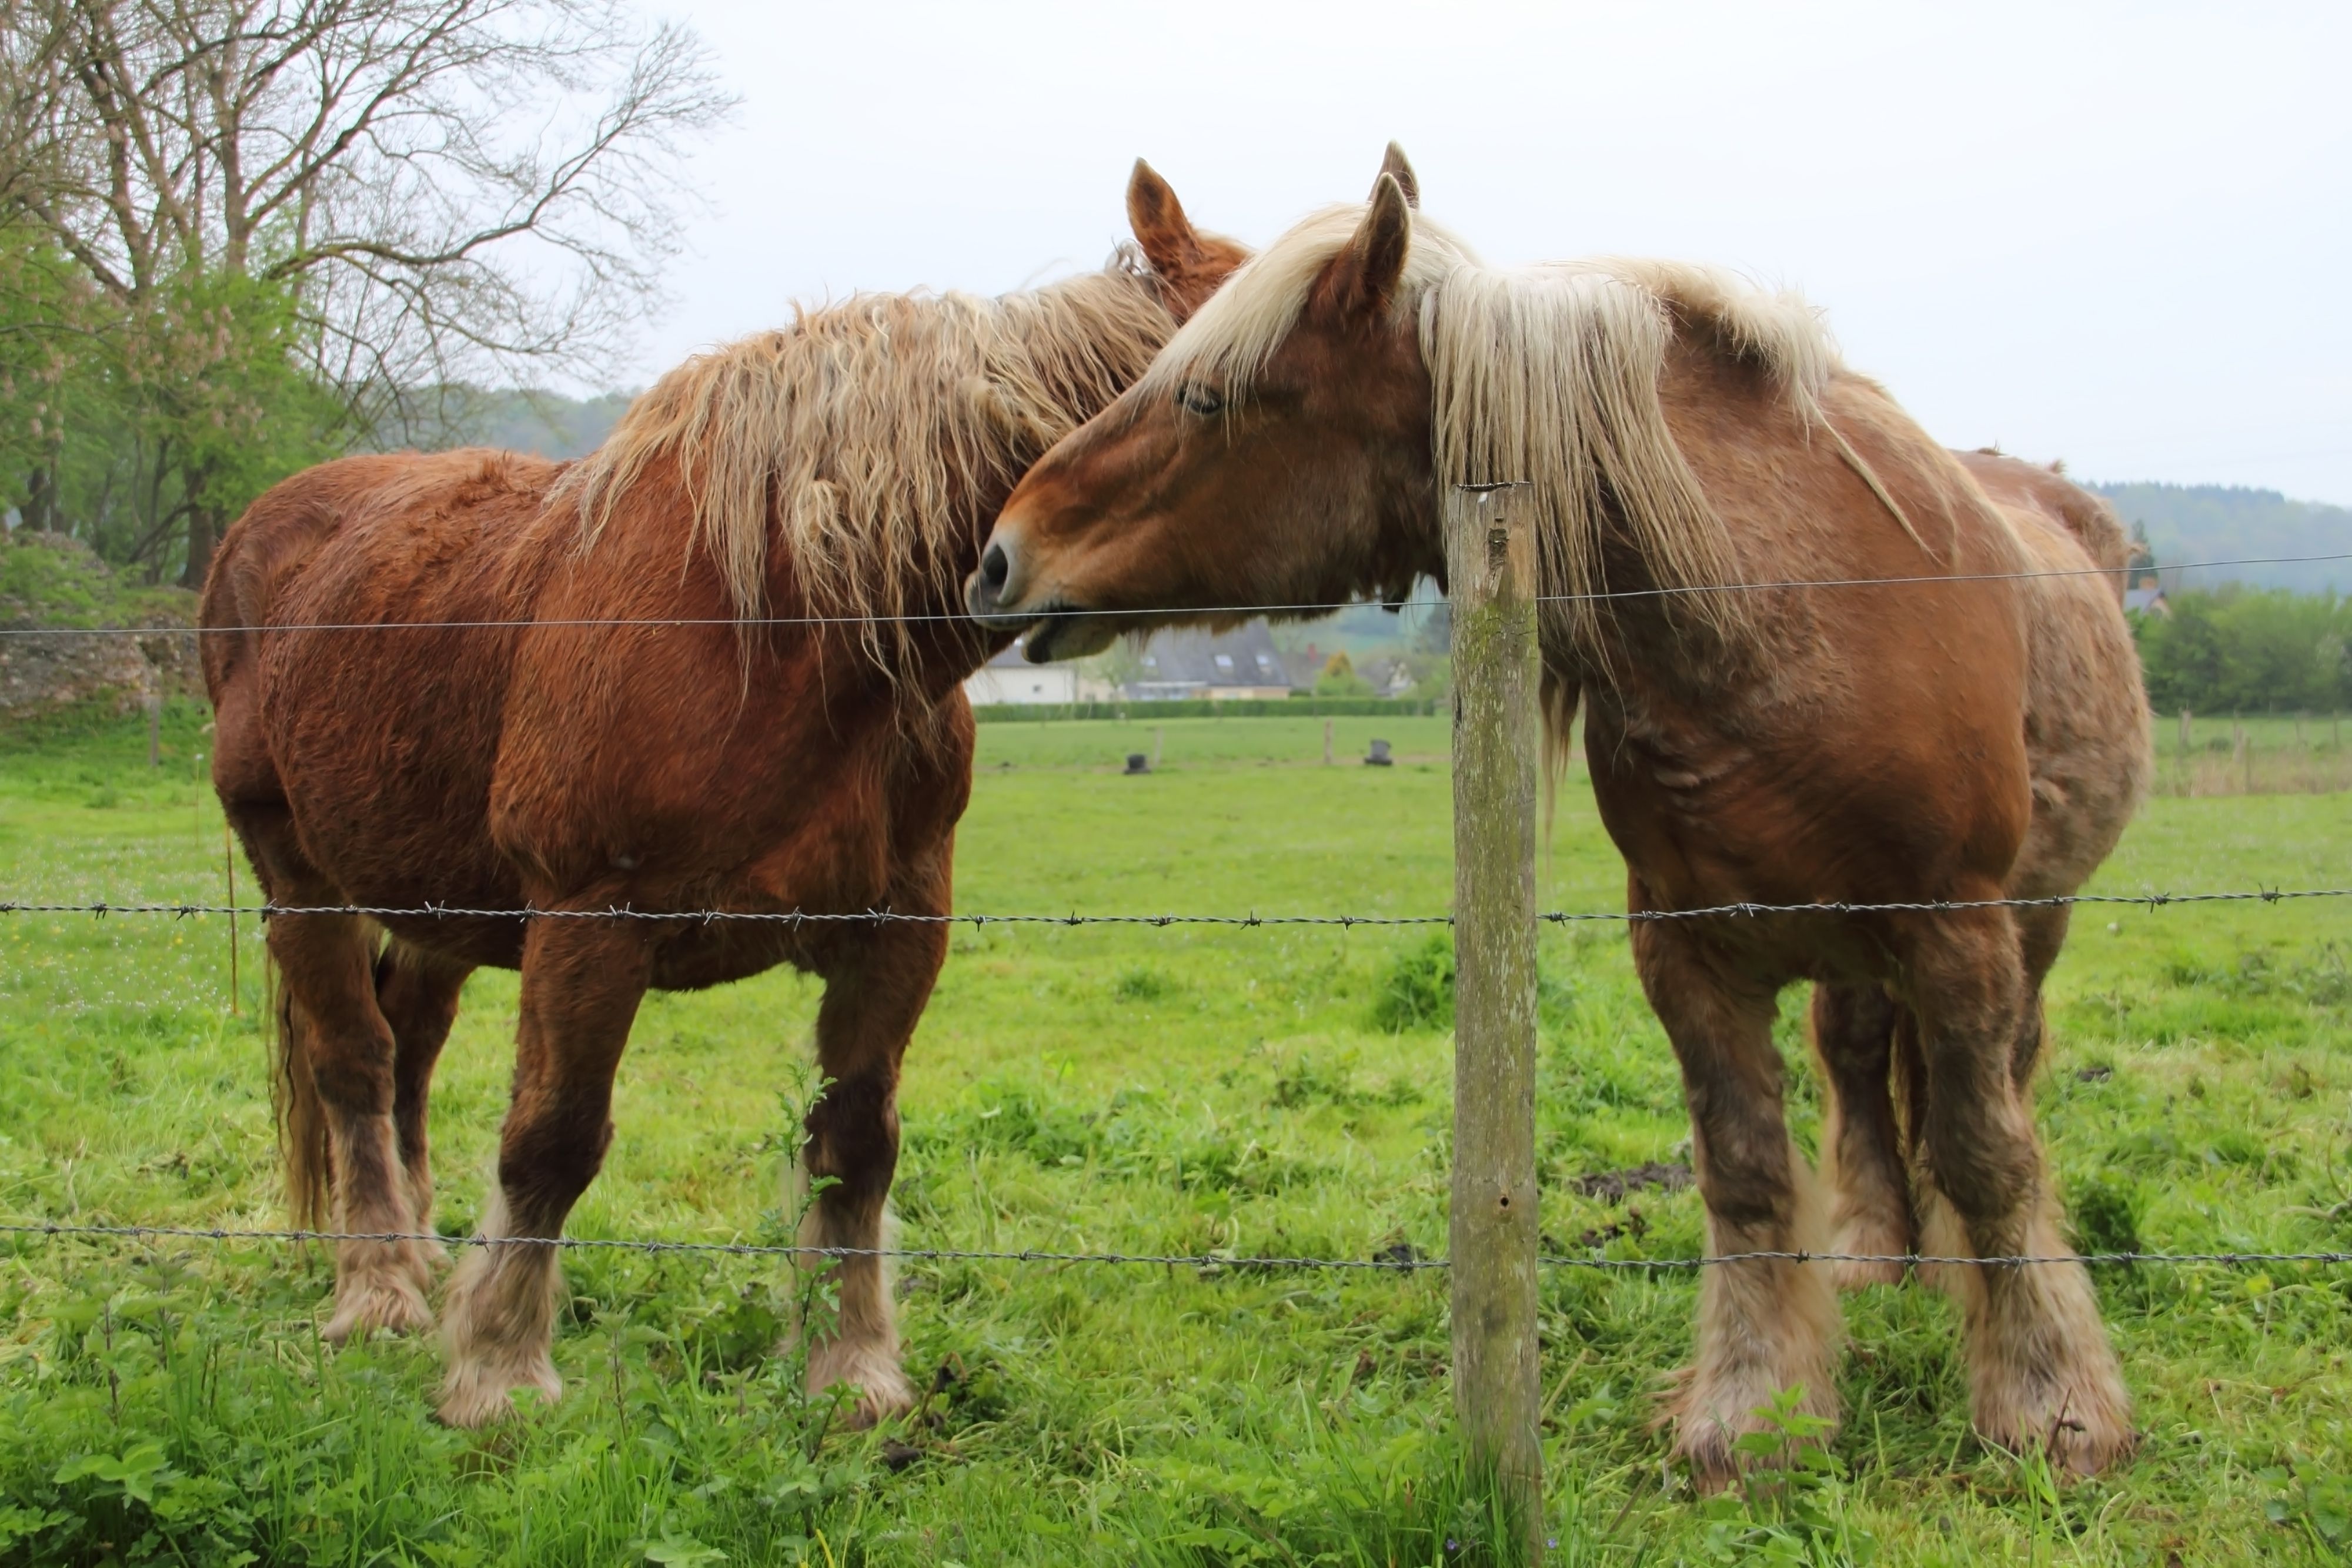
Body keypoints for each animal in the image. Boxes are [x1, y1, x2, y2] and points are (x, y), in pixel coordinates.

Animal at [207, 162, 1251, 1439]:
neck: (797, 625)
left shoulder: (898, 929)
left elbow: (855, 1144)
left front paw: (851, 1372)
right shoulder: (589, 925)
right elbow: (550, 1140)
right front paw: (497, 1371)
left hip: (436, 902)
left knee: (407, 1050)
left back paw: (418, 1248)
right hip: (298, 880)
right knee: (352, 1063)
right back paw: (381, 1291)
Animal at [969, 146, 2154, 1486]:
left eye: (1209, 399)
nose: (1001, 556)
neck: (1784, 620)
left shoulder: (1954, 933)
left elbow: (1987, 1153)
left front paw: (2050, 1401)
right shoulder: (1687, 953)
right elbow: (1746, 1173)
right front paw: (1753, 1410)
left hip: (2026, 922)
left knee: (1995, 1082)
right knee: (1857, 1068)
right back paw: (1871, 1252)